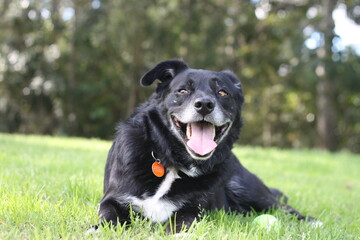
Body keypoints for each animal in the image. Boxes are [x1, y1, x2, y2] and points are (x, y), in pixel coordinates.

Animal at [98, 59, 316, 232]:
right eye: (183, 90)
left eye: (223, 92)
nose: (204, 105)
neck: (173, 162)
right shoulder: (114, 198)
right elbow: (108, 217)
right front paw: (98, 230)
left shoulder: (193, 209)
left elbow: (179, 223)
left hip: (247, 188)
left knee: (283, 207)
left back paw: (312, 222)